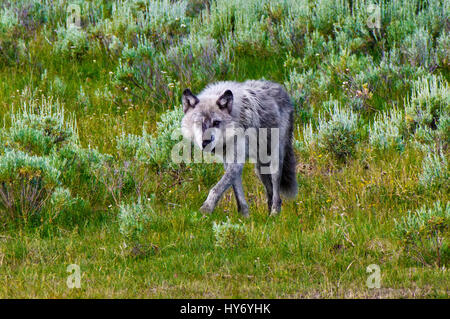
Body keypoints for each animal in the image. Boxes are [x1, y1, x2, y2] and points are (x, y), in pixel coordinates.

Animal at [181, 80, 298, 218]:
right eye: (199, 123)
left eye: (216, 123)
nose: (205, 142)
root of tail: (281, 88)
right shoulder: (228, 162)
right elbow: (237, 192)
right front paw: (244, 216)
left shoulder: (236, 162)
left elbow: (216, 189)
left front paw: (205, 210)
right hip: (260, 169)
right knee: (269, 191)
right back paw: (268, 218)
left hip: (274, 161)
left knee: (276, 191)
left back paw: (274, 214)